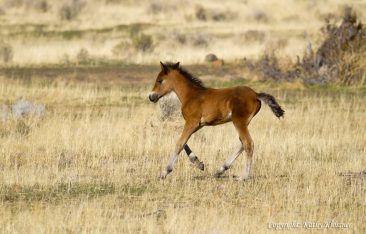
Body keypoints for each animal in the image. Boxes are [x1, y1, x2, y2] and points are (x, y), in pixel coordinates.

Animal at [149, 61, 284, 179]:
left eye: (159, 81)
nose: (151, 97)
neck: (191, 95)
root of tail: (256, 94)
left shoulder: (192, 122)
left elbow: (179, 143)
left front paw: (165, 172)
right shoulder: (198, 124)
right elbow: (184, 142)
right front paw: (199, 163)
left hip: (239, 122)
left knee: (248, 143)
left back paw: (243, 176)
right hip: (243, 123)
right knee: (242, 143)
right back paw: (220, 170)